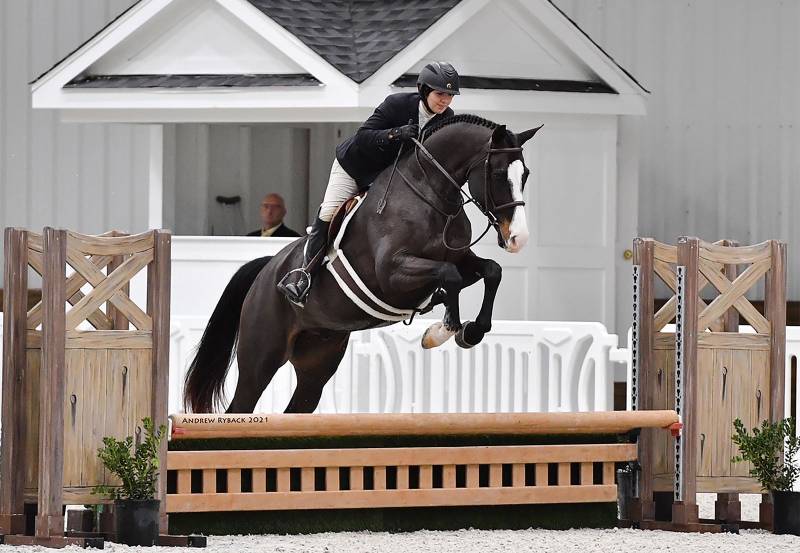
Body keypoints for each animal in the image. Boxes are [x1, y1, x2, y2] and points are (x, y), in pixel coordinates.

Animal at [184, 114, 543, 414]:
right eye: (498, 174)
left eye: (525, 174)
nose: (518, 238)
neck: (430, 194)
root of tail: (267, 270)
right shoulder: (392, 274)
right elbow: (450, 276)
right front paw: (443, 330)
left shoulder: (458, 257)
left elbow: (489, 271)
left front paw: (469, 330)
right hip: (261, 357)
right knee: (240, 406)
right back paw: (296, 285)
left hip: (318, 359)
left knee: (298, 407)